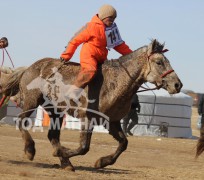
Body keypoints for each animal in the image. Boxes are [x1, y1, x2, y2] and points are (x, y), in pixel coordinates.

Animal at [0, 39, 182, 172]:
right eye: (159, 62)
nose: (177, 85)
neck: (115, 82)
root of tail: (29, 68)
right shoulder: (87, 119)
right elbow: (83, 147)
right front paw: (61, 152)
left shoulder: (111, 122)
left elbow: (123, 143)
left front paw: (101, 162)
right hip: (31, 102)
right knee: (20, 121)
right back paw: (30, 150)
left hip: (56, 111)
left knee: (52, 135)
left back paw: (66, 163)